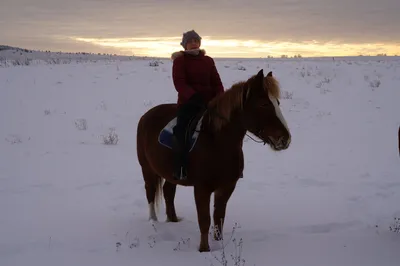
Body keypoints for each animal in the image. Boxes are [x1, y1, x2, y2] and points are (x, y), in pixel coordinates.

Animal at [137, 68, 290, 251]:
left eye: (278, 103)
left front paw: (219, 243)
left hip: (170, 173)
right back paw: (153, 222)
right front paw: (204, 249)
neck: (217, 143)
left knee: (168, 191)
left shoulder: (227, 187)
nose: (285, 139)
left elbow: (219, 217)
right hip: (147, 169)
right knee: (150, 191)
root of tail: (146, 116)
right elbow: (204, 219)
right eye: (264, 104)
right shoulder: (201, 188)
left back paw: (173, 219)